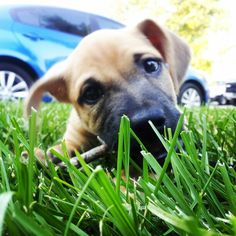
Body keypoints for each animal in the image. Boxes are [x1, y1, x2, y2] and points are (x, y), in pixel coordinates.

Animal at [24, 19, 190, 167]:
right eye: (91, 94)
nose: (147, 123)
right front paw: (48, 155)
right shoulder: (74, 135)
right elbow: (64, 147)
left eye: (151, 65)